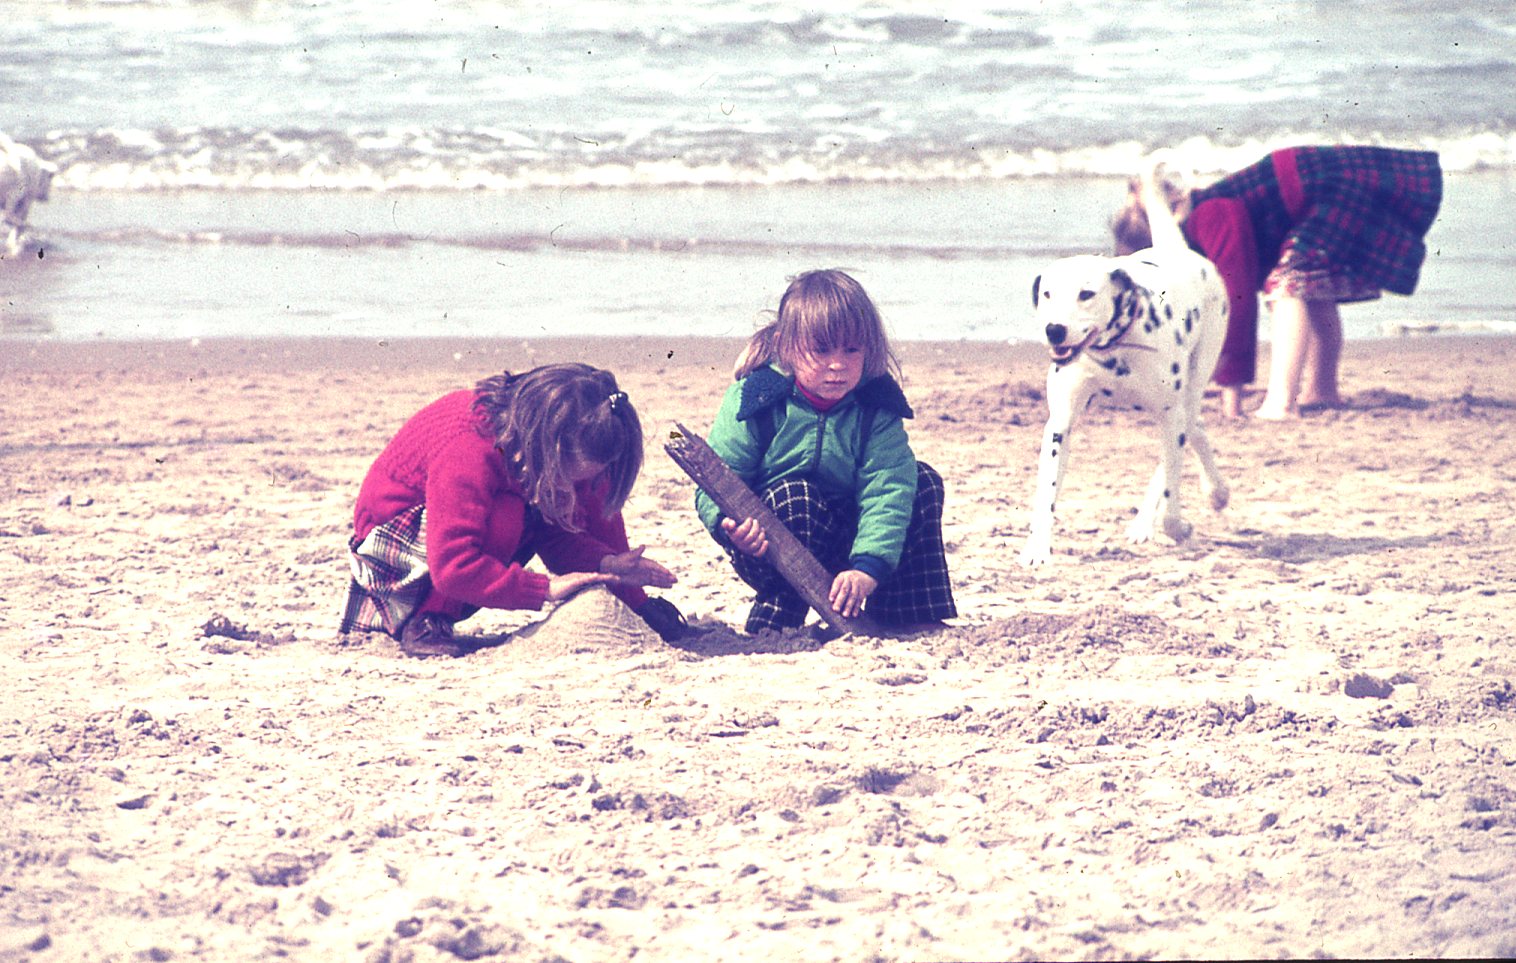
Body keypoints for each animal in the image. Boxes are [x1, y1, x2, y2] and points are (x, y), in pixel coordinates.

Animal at [1019, 168, 1230, 566]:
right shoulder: (1060, 425)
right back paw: (1215, 491)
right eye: (1047, 294)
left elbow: (1171, 499)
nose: (1055, 329)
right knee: (1196, 427)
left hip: (1195, 380)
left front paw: (1177, 527)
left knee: (1185, 431)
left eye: (1086, 294)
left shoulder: (1170, 415)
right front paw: (1037, 548)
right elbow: (1047, 494)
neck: (1115, 347)